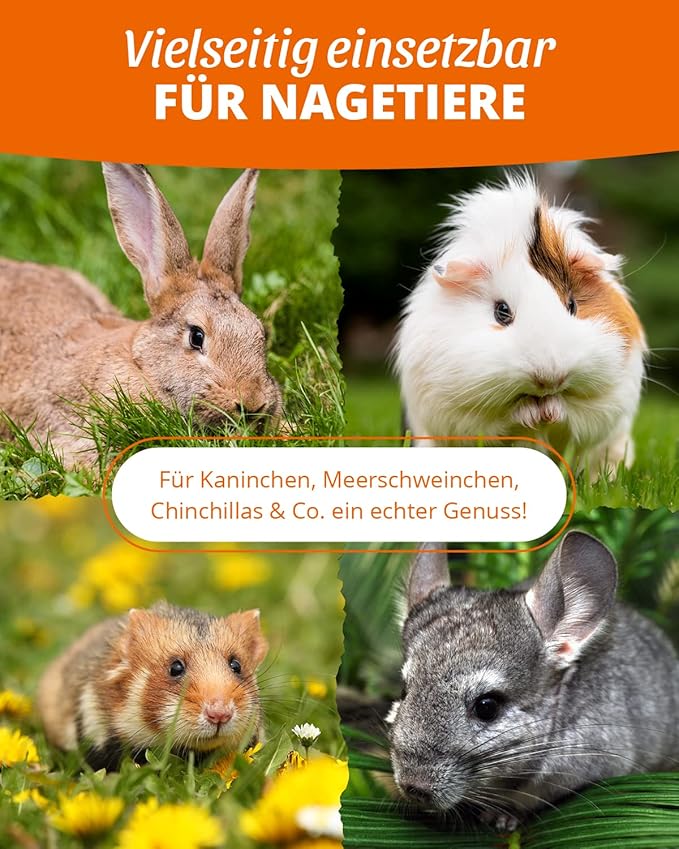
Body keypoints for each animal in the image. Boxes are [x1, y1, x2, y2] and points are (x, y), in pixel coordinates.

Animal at [393, 173, 647, 476]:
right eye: (502, 311)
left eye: (572, 305)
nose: (550, 377)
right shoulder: (457, 414)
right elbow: (499, 418)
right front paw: (534, 413)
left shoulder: (608, 404)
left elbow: (576, 411)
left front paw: (549, 411)